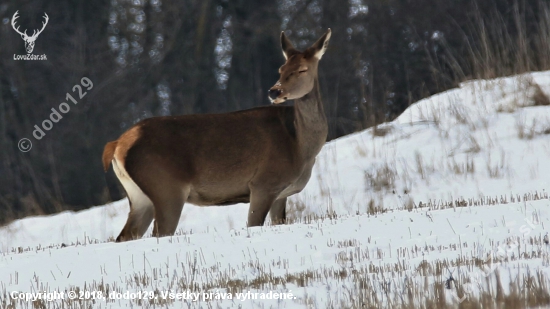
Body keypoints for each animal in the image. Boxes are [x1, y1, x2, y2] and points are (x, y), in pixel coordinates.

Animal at [103, 28, 332, 241]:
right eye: (281, 68)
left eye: (302, 69)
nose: (274, 91)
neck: (299, 146)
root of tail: (117, 144)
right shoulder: (263, 183)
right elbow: (253, 224)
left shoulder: (281, 193)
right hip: (166, 187)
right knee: (159, 233)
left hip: (139, 196)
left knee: (125, 236)